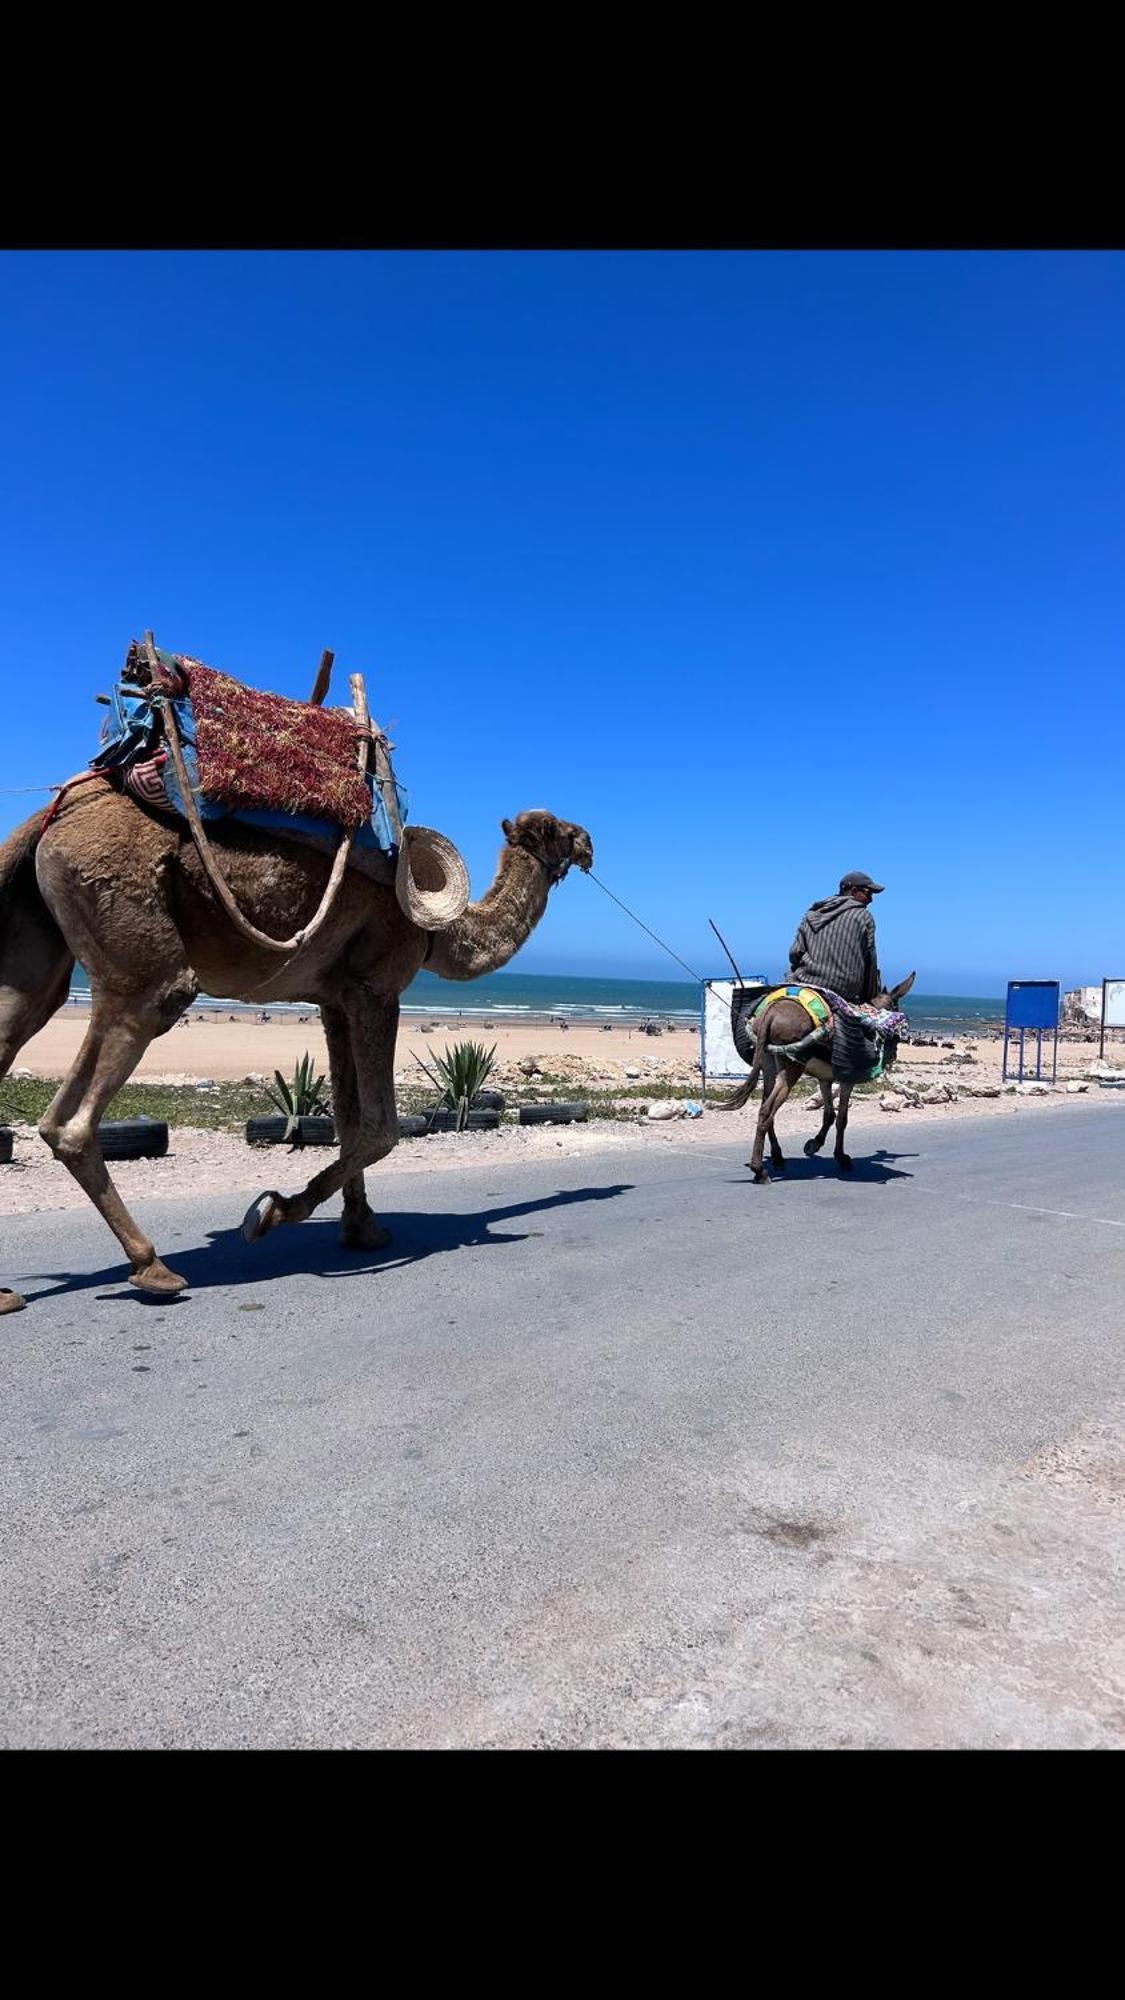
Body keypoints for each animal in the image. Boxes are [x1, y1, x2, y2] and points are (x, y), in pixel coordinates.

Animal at [0, 780, 592, 1312]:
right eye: (552, 829)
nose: (587, 841)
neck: (441, 930)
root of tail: (47, 820)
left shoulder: (334, 997)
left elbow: (350, 1122)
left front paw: (362, 1229)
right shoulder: (376, 985)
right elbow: (382, 1128)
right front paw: (272, 1212)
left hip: (41, 951)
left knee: (23, 1017)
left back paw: (11, 1293)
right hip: (134, 945)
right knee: (79, 1109)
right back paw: (152, 1266)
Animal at [716, 972, 912, 1176]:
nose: (893, 1055)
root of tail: (771, 1012)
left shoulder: (824, 1079)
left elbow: (829, 1115)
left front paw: (814, 1145)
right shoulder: (847, 1080)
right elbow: (841, 1118)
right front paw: (841, 1157)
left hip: (768, 1063)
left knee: (765, 1107)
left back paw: (777, 1157)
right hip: (792, 1067)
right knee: (766, 1110)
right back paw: (759, 1170)